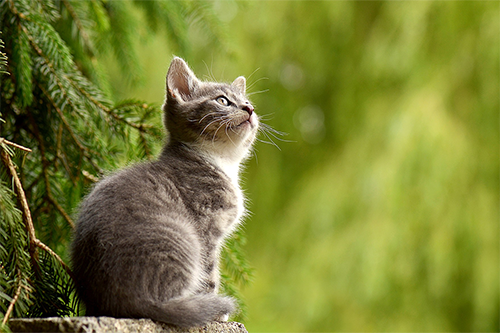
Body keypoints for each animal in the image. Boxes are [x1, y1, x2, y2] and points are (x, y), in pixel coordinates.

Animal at [72, 56, 260, 324]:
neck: (220, 161)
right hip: (183, 238)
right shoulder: (206, 228)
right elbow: (209, 274)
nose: (249, 109)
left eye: (248, 102)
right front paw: (217, 314)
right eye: (222, 100)